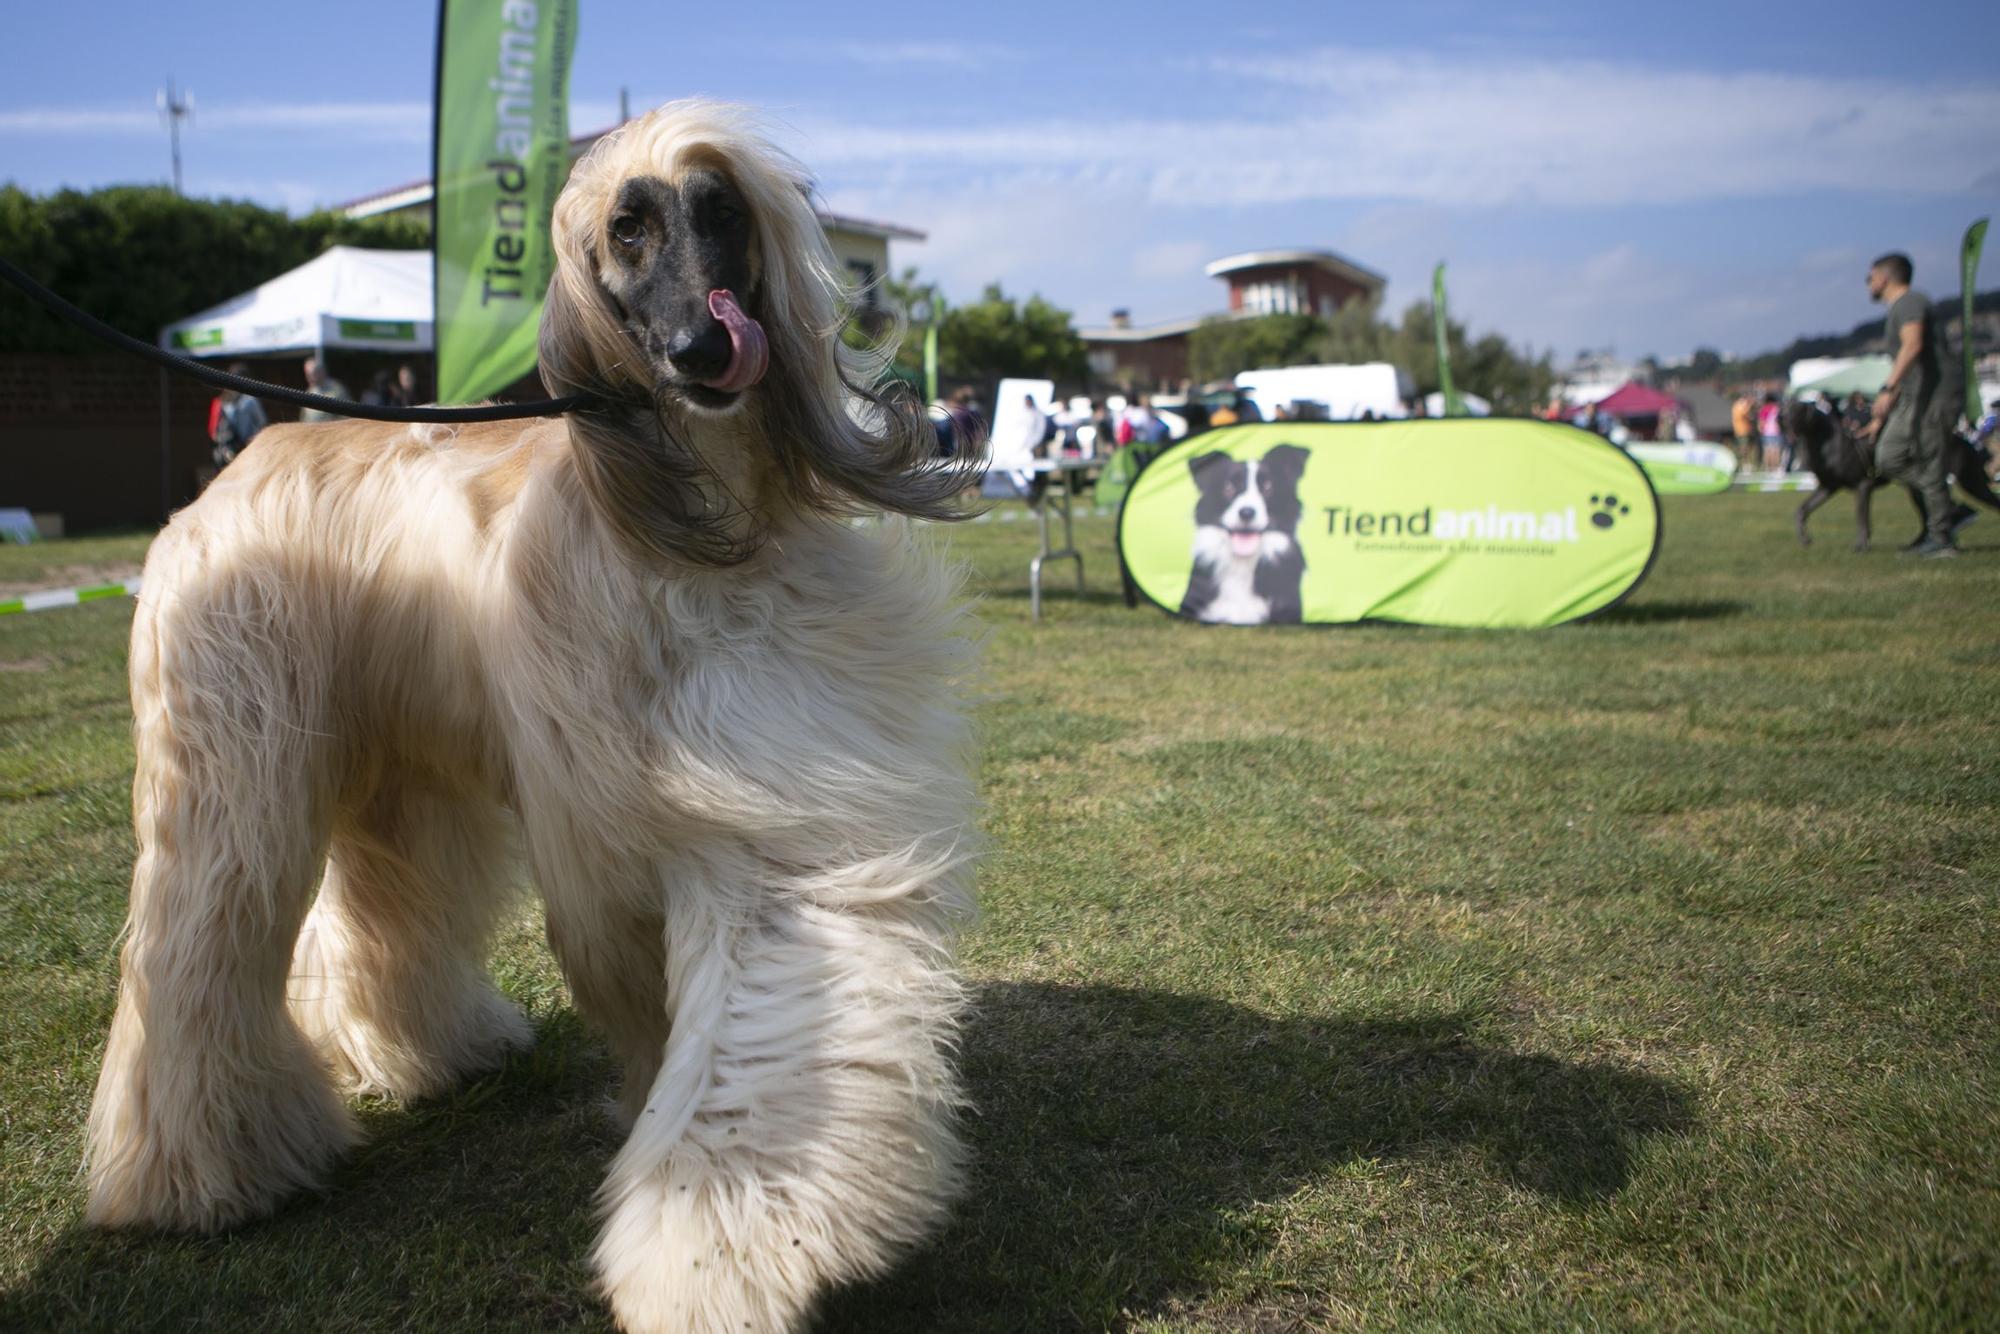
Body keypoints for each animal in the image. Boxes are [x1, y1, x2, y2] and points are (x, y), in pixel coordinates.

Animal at [86, 99, 984, 1328]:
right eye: (626, 229)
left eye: (720, 213)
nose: (706, 353)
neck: (687, 522)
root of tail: (242, 456)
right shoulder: (672, 805)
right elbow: (694, 1011)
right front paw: (709, 1249)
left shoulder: (762, 790)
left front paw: (718, 1241)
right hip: (232, 750)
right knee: (201, 933)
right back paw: (199, 1173)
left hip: (398, 765)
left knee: (386, 903)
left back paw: (421, 1050)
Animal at [1792, 400, 1992, 552]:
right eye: (1787, 407)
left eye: (1796, 409)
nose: (1783, 420)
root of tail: (1967, 442)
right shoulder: (1828, 487)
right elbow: (1803, 509)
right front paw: (1804, 538)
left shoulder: (1863, 486)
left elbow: (1861, 518)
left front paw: (1861, 545)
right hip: (1927, 489)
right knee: (1930, 514)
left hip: (1970, 482)